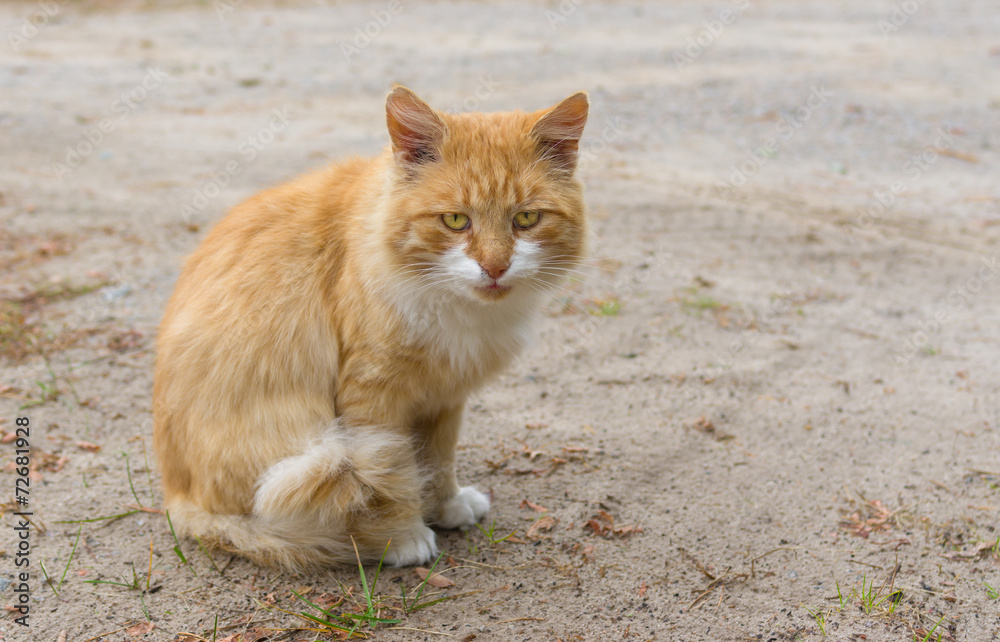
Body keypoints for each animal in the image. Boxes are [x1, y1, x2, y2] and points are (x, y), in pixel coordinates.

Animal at [153, 84, 588, 564]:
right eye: (456, 220)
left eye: (526, 219)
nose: (494, 268)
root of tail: (178, 498)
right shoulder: (373, 397)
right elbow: (390, 476)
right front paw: (403, 537)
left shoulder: (444, 397)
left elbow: (439, 461)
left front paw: (447, 507)